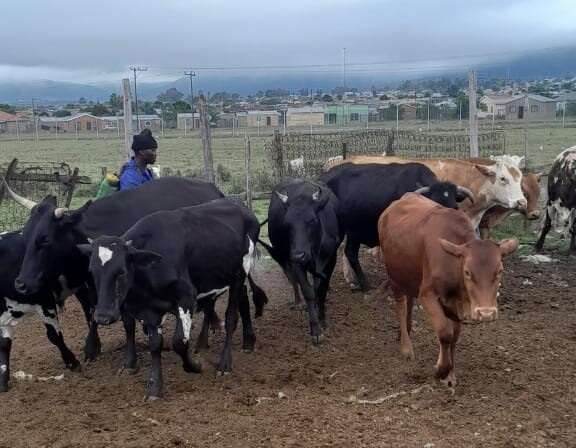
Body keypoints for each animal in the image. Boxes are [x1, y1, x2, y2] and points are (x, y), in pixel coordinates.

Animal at [0, 231, 81, 392]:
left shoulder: (45, 302)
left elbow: (54, 336)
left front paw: (72, 362)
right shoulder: (3, 318)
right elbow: (4, 346)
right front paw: (3, 380)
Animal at [77, 200, 268, 400]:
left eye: (121, 271)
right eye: (92, 271)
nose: (103, 316)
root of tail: (239, 205)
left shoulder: (187, 298)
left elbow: (179, 342)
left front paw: (195, 366)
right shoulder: (150, 310)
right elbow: (155, 345)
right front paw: (155, 387)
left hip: (239, 275)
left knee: (231, 317)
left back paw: (225, 363)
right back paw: (208, 344)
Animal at [260, 178, 342, 344]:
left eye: (312, 220)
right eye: (286, 224)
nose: (299, 255)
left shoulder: (331, 258)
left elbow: (321, 288)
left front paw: (322, 319)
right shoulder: (295, 261)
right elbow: (308, 291)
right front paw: (315, 329)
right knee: (293, 279)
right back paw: (299, 303)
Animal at [378, 194, 516, 386]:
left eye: (500, 271)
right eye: (467, 272)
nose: (486, 313)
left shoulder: (456, 305)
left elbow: (455, 336)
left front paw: (451, 375)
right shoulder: (428, 295)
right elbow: (445, 333)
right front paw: (441, 370)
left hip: (411, 275)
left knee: (409, 301)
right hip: (395, 276)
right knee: (401, 305)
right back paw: (406, 347)